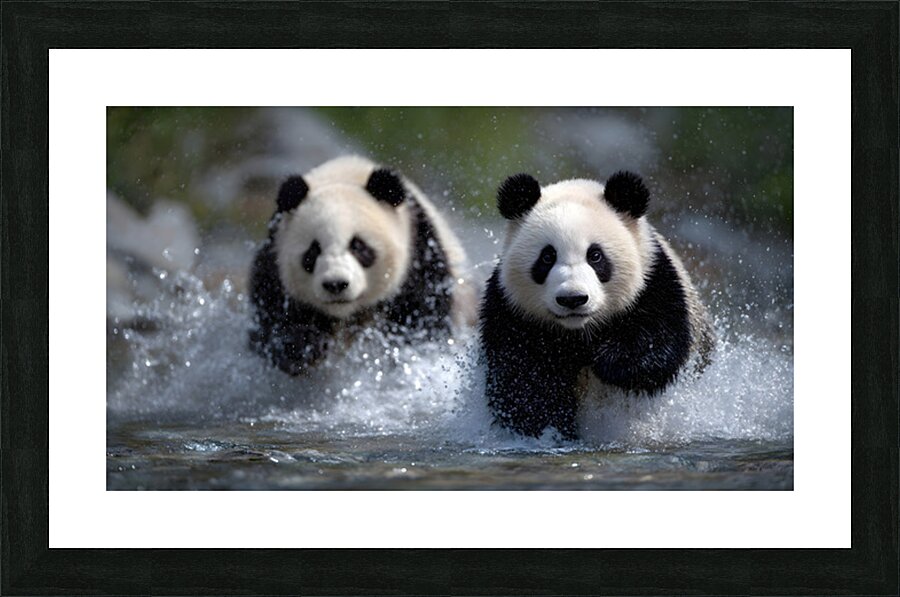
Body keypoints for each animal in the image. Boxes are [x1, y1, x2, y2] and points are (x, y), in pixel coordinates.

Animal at [249, 155, 475, 375]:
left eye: (358, 246)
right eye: (313, 251)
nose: (336, 284)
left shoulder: (420, 251)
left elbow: (422, 317)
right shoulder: (273, 261)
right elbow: (274, 320)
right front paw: (304, 347)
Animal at [480, 170, 715, 439]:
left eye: (595, 255)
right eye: (547, 257)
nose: (572, 299)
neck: (578, 331)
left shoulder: (654, 282)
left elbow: (656, 346)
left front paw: (607, 360)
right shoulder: (513, 312)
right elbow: (521, 381)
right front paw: (552, 429)